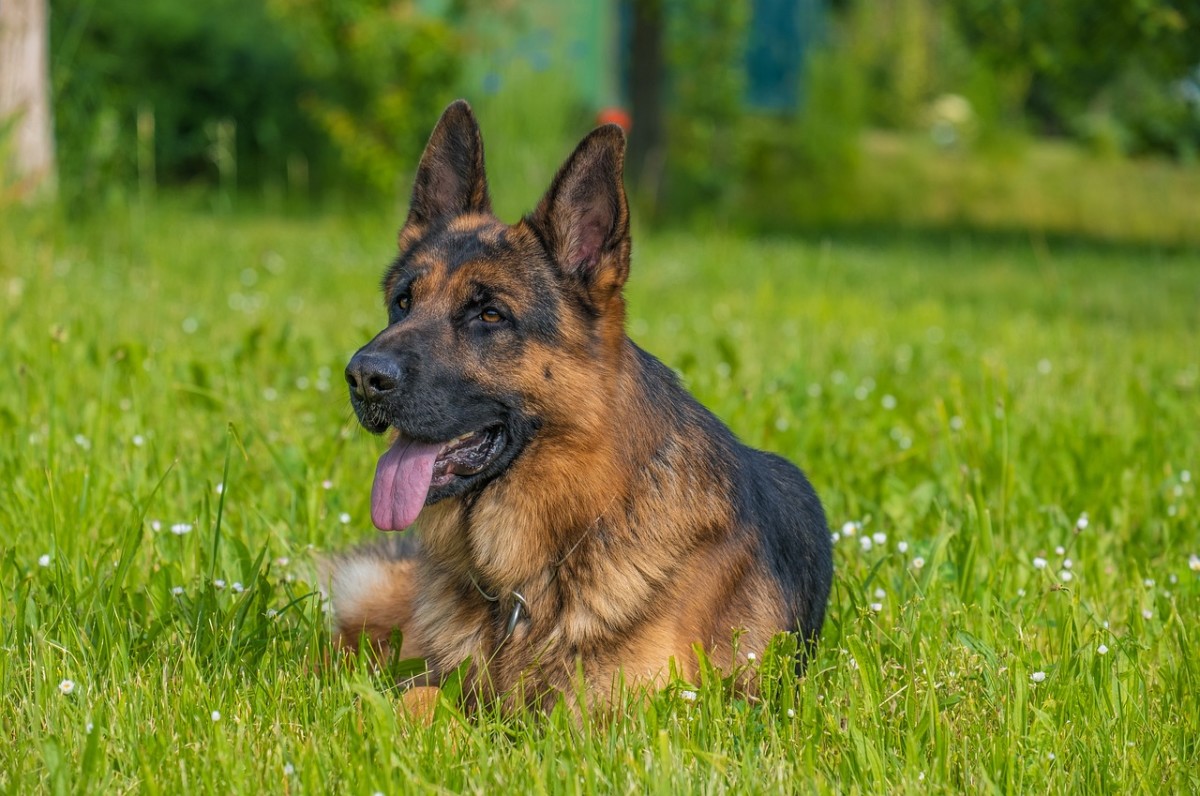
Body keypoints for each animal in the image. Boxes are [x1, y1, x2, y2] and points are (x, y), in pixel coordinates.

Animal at [333, 101, 830, 710]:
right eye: (402, 302)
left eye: (490, 315)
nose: (363, 376)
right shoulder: (443, 680)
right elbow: (415, 701)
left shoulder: (623, 712)